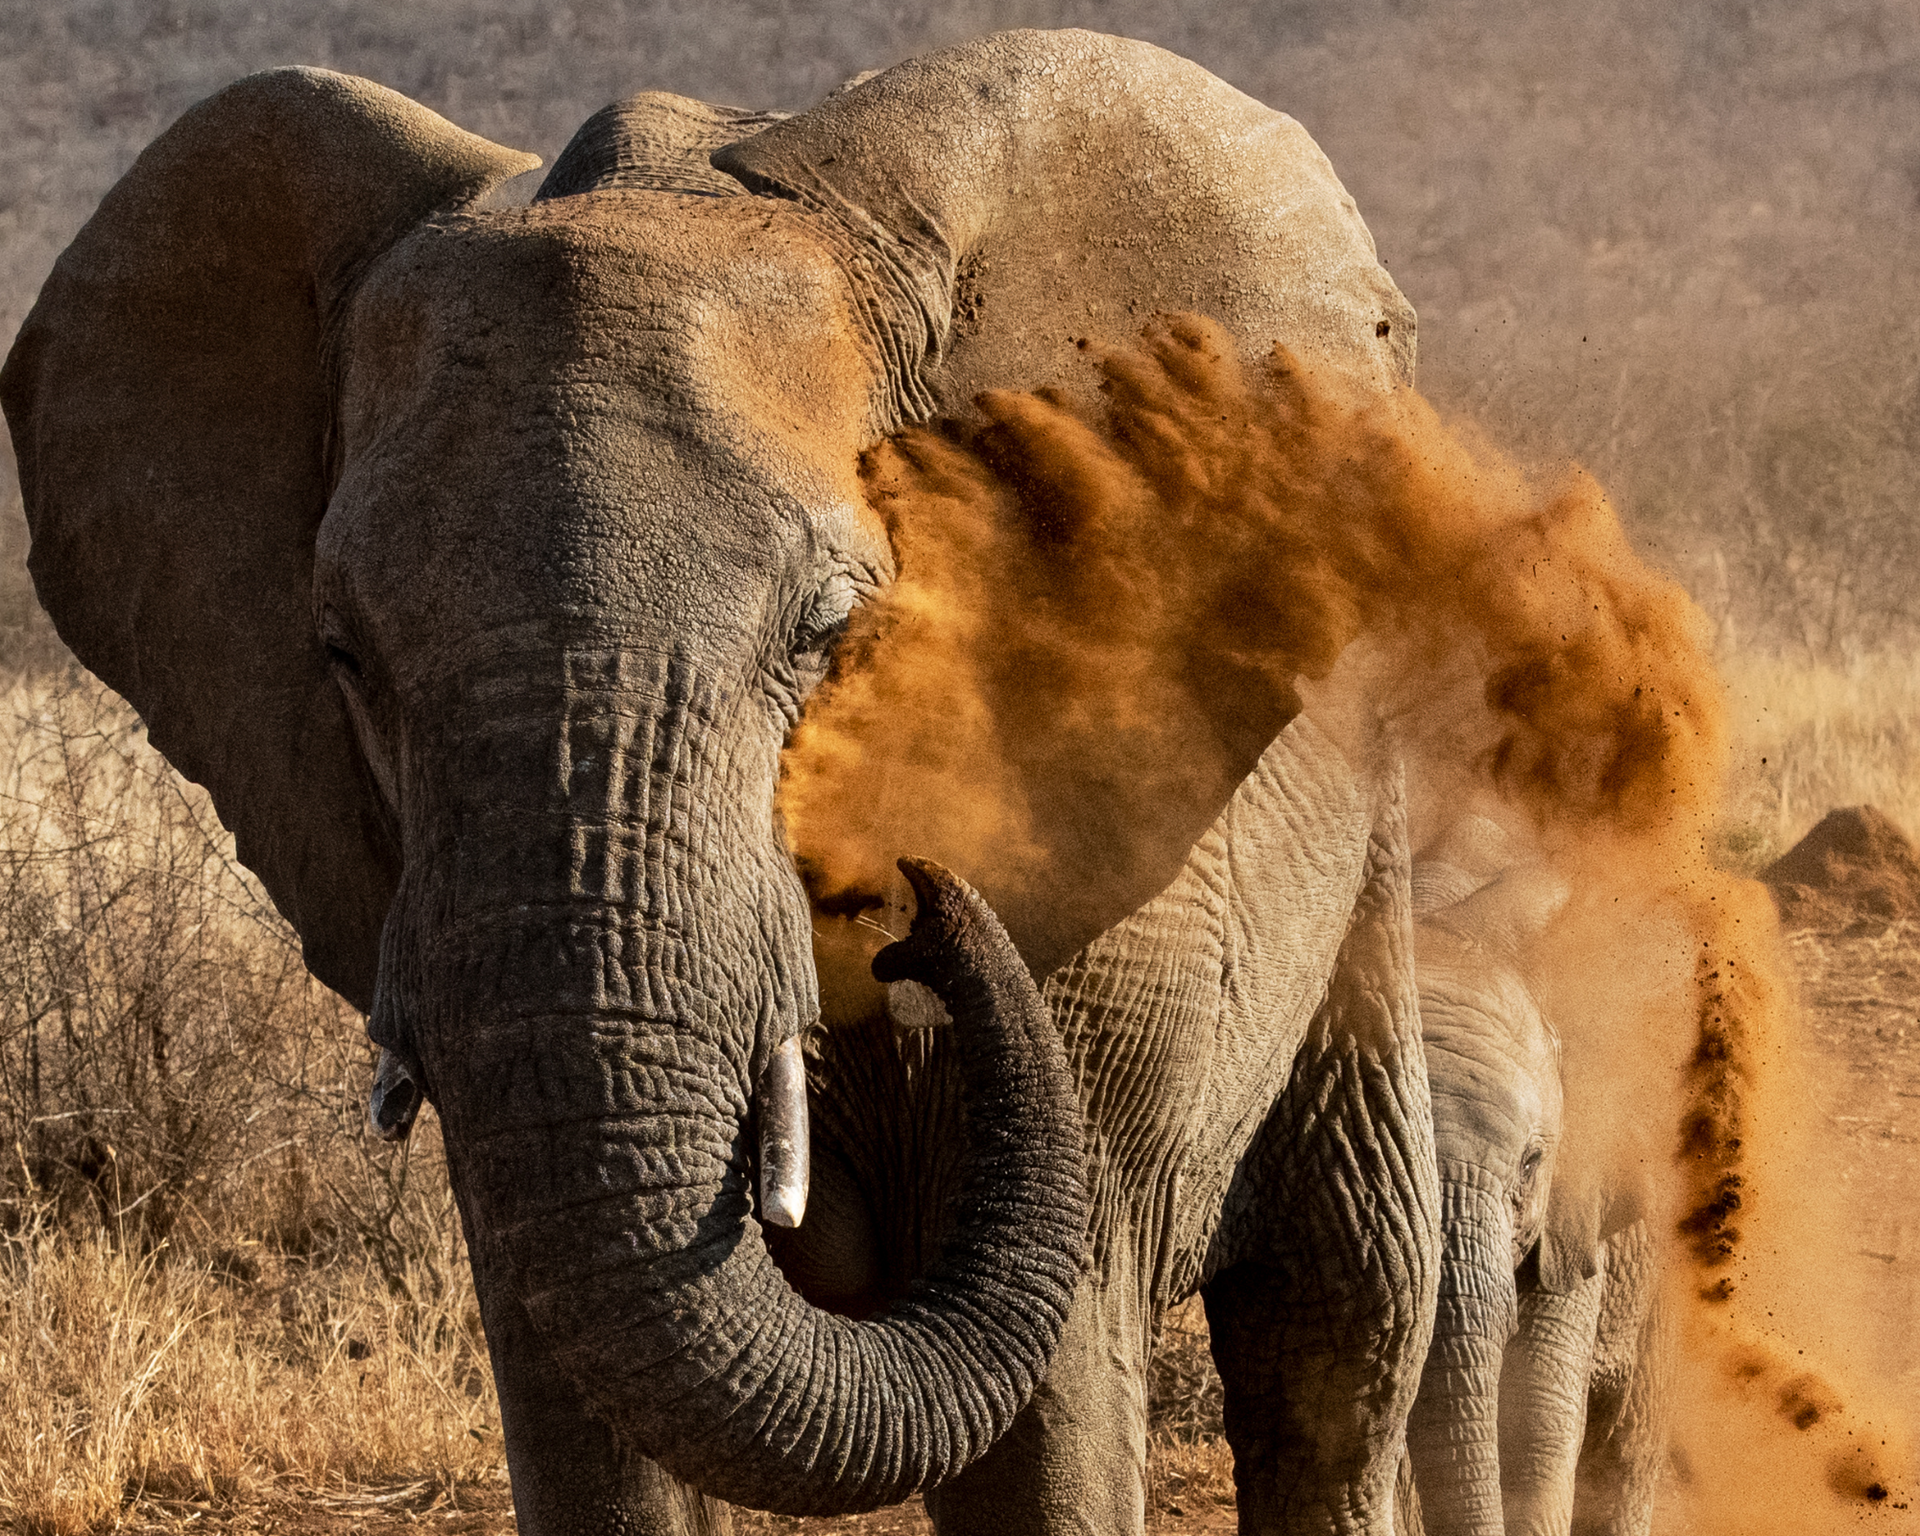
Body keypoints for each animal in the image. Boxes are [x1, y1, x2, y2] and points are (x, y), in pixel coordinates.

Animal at [3, 28, 1439, 1536]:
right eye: (344, 654)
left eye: (825, 628)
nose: (919, 908)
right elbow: (582, 1401)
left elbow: (1051, 1412)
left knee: (1341, 1323)